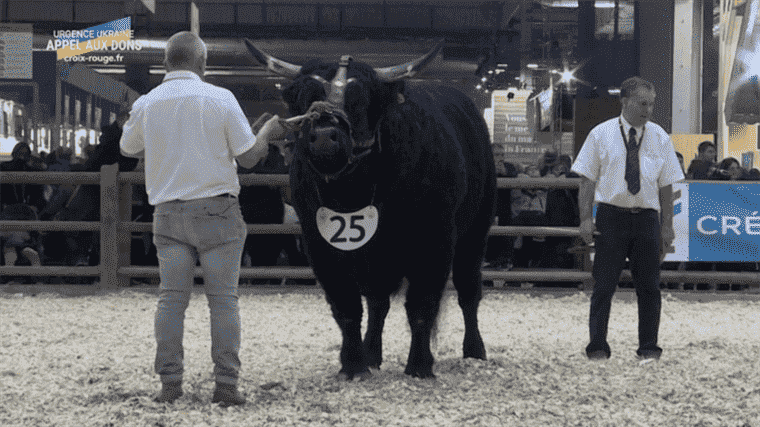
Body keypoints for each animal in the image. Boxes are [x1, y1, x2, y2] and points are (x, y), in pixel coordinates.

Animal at [246, 40, 498, 380]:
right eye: (307, 98)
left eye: (359, 98)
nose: (324, 136)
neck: (353, 190)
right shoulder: (320, 246)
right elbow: (347, 308)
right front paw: (353, 364)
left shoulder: (435, 242)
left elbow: (422, 305)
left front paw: (419, 365)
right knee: (379, 304)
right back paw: (372, 353)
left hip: (475, 231)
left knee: (468, 291)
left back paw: (474, 350)